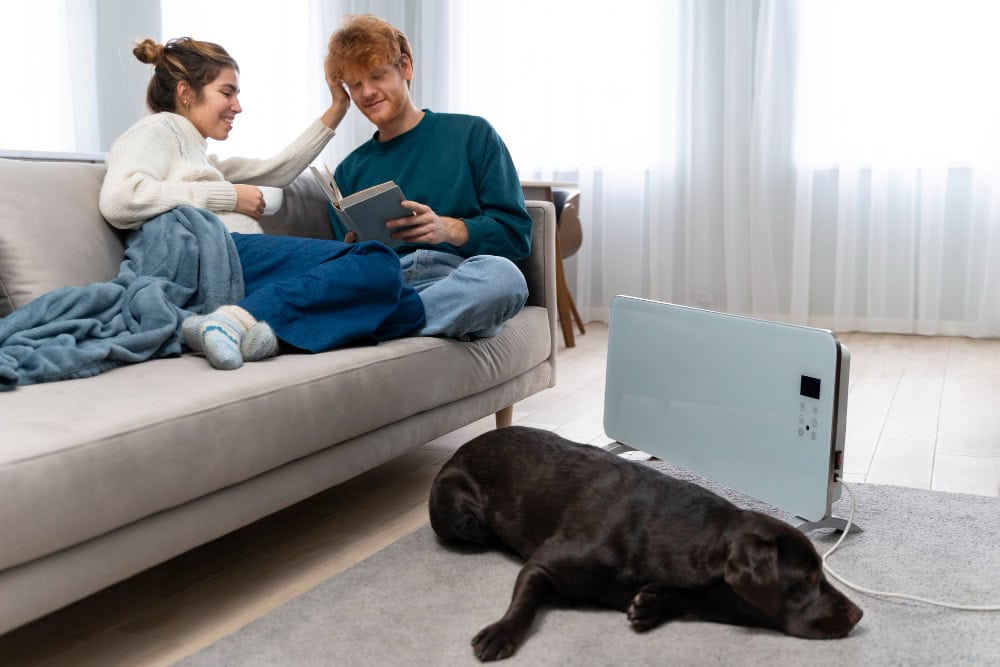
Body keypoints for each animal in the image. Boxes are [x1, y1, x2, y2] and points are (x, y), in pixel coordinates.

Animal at [428, 428, 860, 664]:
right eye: (806, 579)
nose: (858, 614)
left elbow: (681, 598)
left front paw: (651, 603)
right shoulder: (543, 563)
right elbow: (526, 600)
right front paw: (501, 632)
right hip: (464, 520)